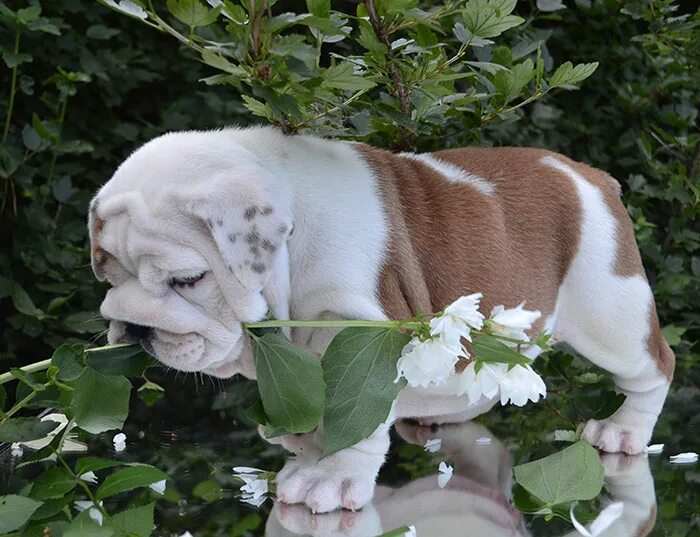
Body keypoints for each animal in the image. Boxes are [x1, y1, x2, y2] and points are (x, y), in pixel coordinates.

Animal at [87, 125, 672, 510]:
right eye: (107, 272)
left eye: (188, 280)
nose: (133, 326)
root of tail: (588, 174)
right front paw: (308, 447)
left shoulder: (354, 331)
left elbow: (352, 413)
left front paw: (332, 476)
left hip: (610, 310)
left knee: (654, 368)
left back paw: (623, 430)